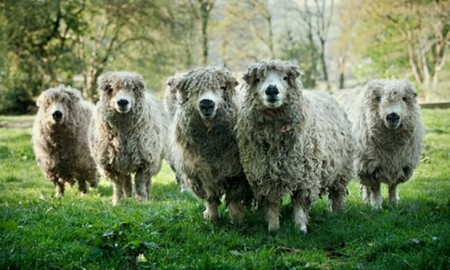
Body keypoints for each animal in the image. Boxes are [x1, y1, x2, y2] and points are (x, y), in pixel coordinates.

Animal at [89, 70, 168, 206]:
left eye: (134, 88)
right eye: (110, 89)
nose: (122, 102)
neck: (123, 133)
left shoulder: (145, 160)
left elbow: (140, 182)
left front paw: (142, 201)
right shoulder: (109, 164)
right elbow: (117, 184)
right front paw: (117, 202)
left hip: (153, 159)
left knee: (146, 180)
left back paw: (147, 195)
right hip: (123, 160)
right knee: (125, 178)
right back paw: (127, 194)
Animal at [167, 67, 255, 224]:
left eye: (222, 87)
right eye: (193, 90)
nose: (207, 104)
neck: (212, 150)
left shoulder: (236, 171)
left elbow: (234, 196)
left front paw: (237, 218)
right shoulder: (199, 171)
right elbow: (210, 196)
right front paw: (212, 217)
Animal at [239, 60, 356, 233]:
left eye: (285, 78)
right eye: (258, 79)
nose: (271, 90)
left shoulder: (306, 176)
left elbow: (300, 203)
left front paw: (300, 228)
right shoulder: (265, 175)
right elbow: (272, 204)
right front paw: (273, 228)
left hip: (342, 170)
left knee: (337, 193)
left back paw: (336, 214)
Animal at [332, 79, 424, 210]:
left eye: (404, 98)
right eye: (378, 98)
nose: (392, 115)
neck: (391, 146)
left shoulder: (400, 165)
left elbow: (393, 186)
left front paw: (393, 204)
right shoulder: (368, 167)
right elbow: (375, 188)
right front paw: (376, 206)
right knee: (366, 186)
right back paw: (367, 199)